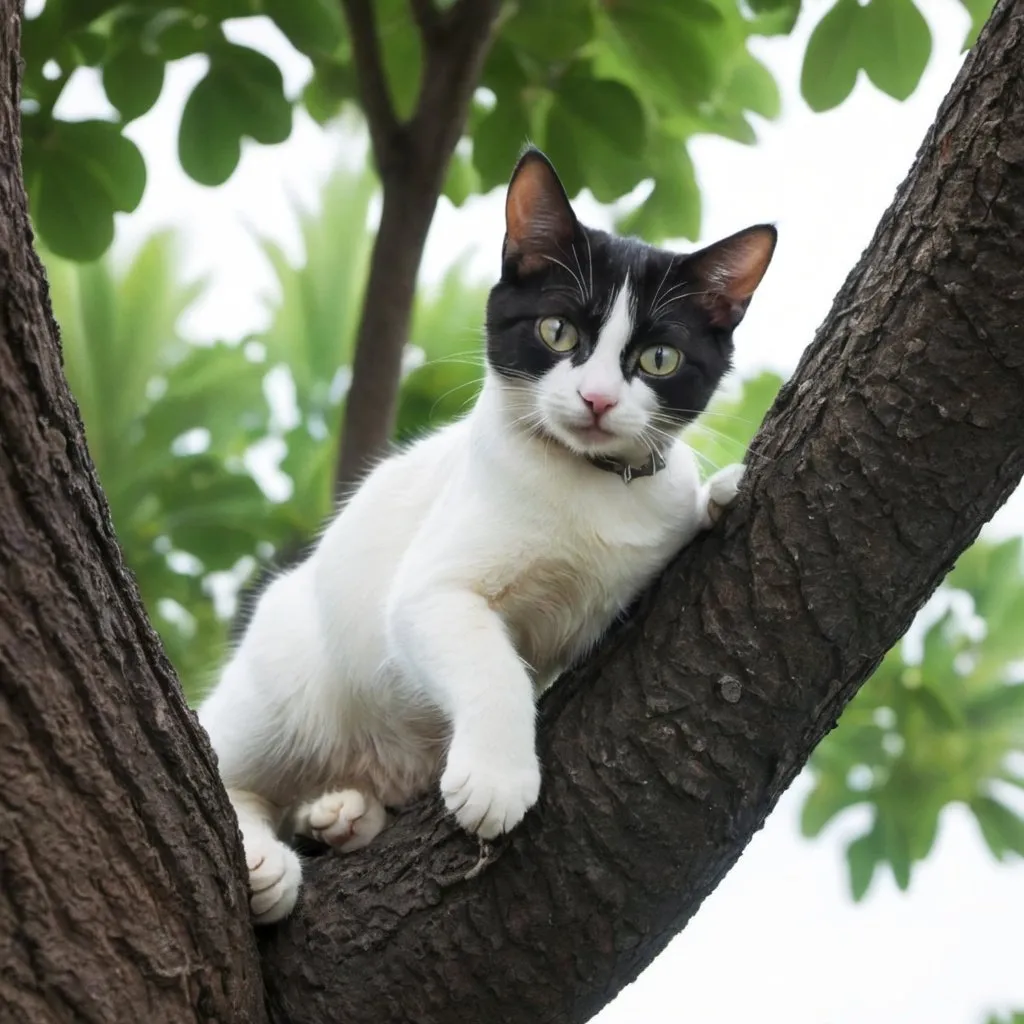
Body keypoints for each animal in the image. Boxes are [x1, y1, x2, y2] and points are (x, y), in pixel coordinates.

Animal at [197, 148, 774, 925]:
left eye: (659, 359)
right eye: (558, 332)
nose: (597, 399)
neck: (586, 482)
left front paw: (720, 492)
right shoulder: (430, 592)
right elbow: (493, 666)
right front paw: (497, 780)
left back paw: (343, 815)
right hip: (288, 687)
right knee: (231, 764)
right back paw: (264, 862)